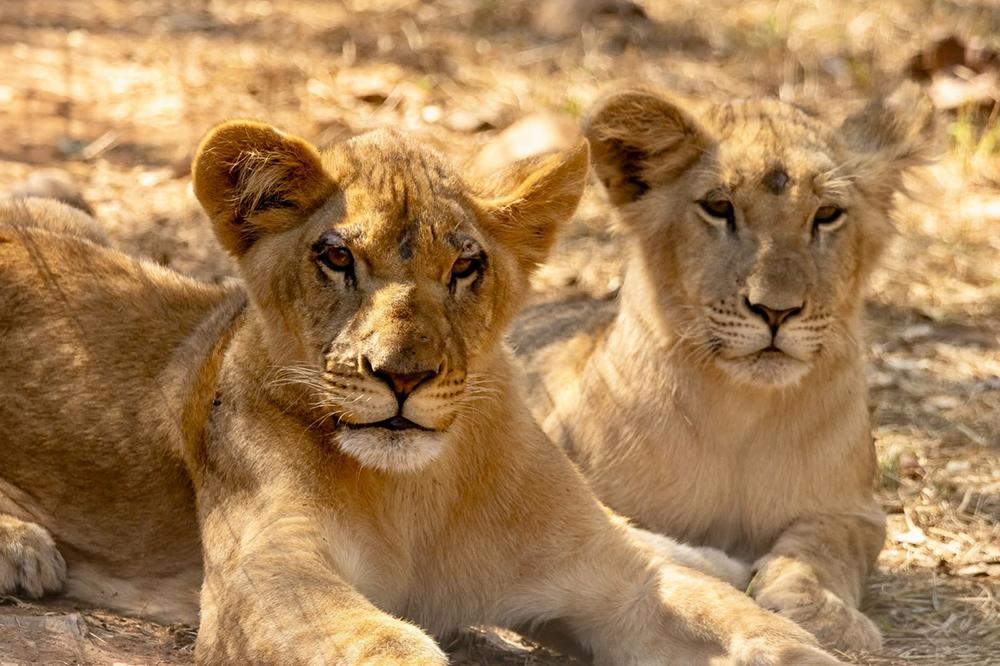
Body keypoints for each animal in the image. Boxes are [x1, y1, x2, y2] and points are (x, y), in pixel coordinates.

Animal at [0, 121, 842, 664]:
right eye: (337, 257)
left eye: (465, 266)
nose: (401, 377)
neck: (416, 498)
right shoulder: (263, 582)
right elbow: (390, 644)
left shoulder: (620, 583)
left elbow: (753, 629)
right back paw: (23, 547)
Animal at [512, 84, 935, 652]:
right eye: (719, 207)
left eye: (827, 214)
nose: (776, 311)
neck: (740, 412)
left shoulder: (853, 508)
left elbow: (825, 547)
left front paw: (821, 610)